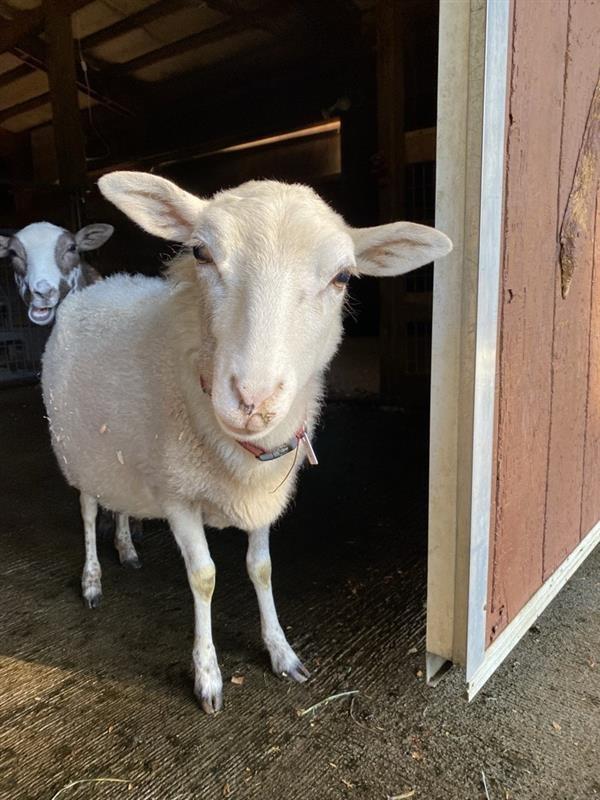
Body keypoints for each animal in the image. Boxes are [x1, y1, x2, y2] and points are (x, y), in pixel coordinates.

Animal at [0, 220, 142, 584]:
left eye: (71, 248)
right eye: (13, 254)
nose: (43, 292)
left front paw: (126, 548)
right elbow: (88, 505)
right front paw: (92, 575)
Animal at [42, 171, 452, 713]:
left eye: (343, 277)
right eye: (200, 252)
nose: (252, 399)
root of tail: (101, 284)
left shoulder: (260, 496)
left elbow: (261, 568)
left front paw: (281, 651)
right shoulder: (177, 494)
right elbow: (204, 577)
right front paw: (208, 675)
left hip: (124, 454)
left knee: (120, 504)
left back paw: (127, 547)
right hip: (79, 450)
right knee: (89, 512)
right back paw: (92, 579)